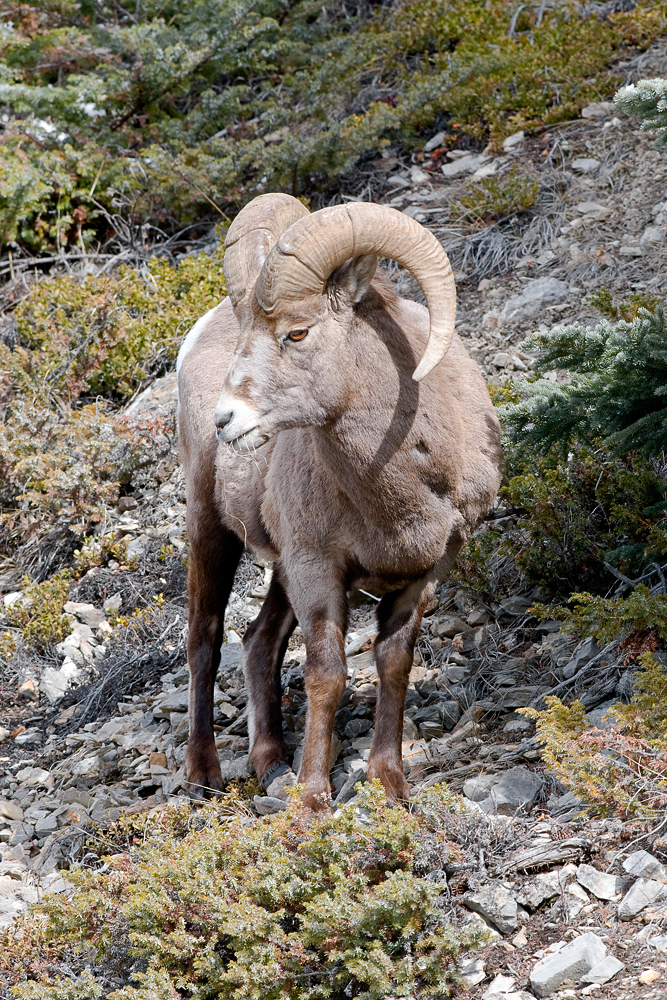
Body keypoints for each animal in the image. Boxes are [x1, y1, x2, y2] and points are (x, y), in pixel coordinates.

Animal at [177, 195, 500, 812]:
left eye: (298, 333)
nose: (226, 420)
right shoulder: (316, 567)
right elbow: (326, 676)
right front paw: (310, 803)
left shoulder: (423, 573)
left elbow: (393, 665)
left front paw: (387, 783)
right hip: (212, 529)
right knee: (205, 639)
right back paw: (204, 777)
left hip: (278, 568)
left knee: (258, 642)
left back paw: (269, 760)